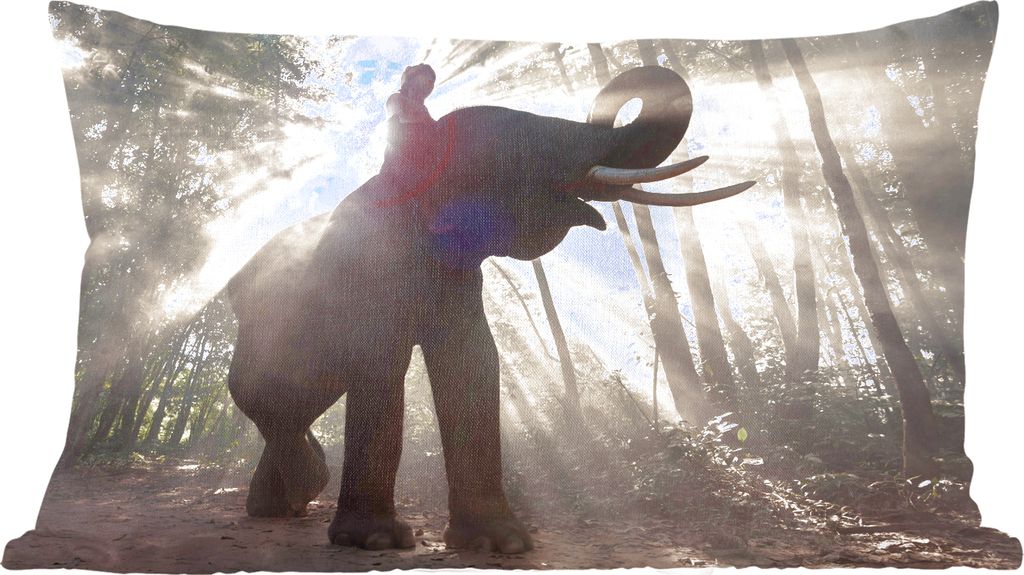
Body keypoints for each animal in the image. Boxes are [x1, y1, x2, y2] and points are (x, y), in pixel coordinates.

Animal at [225, 65, 754, 553]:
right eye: (524, 142)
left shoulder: (459, 275)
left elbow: (472, 360)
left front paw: (502, 544)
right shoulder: (371, 266)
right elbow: (382, 362)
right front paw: (375, 540)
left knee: (295, 408)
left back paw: (283, 503)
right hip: (258, 335)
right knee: (269, 402)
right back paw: (303, 489)